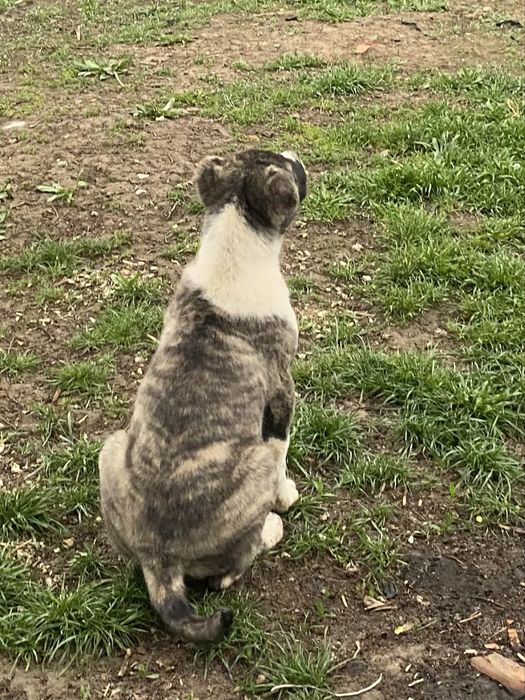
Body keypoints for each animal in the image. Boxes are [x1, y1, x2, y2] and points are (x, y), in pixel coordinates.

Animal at [98, 149, 307, 643]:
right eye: (287, 167)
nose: (297, 155)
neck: (234, 243)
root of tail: (160, 559)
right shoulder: (282, 391)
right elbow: (284, 445)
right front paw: (286, 495)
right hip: (255, 464)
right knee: (228, 572)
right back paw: (270, 529)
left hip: (110, 447)